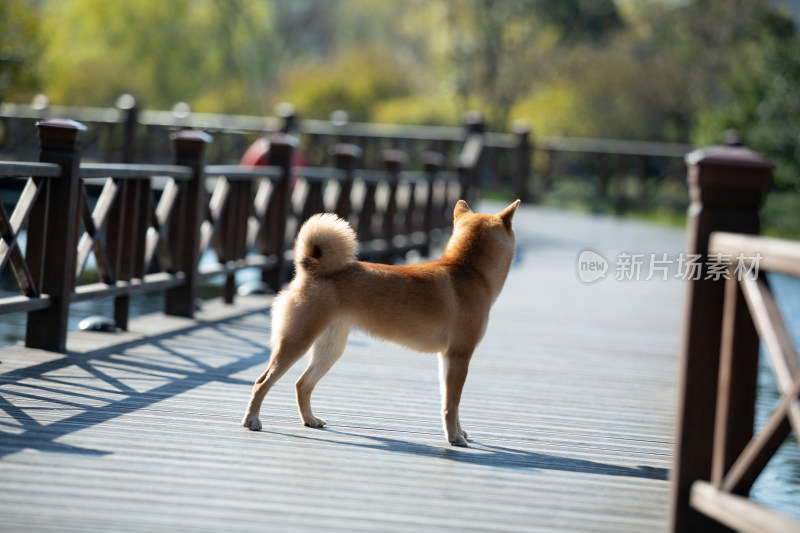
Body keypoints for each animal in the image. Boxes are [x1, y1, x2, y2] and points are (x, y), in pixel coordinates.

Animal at [242, 200, 520, 444]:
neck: (470, 270)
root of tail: (311, 270)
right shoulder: (460, 356)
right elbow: (452, 405)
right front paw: (454, 438)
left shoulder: (448, 358)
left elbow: (449, 402)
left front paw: (459, 432)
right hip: (297, 342)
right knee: (262, 382)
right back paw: (252, 420)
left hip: (329, 349)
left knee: (302, 384)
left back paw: (310, 420)